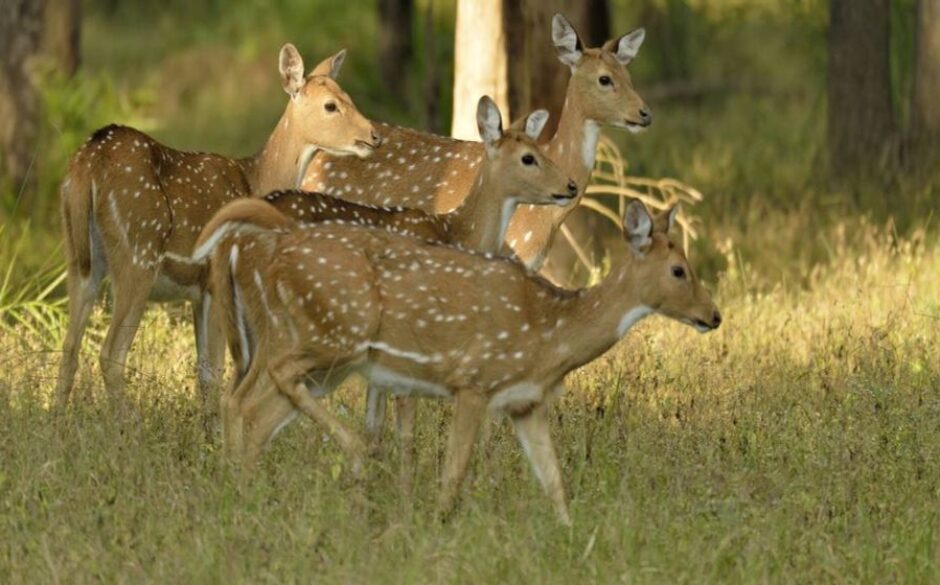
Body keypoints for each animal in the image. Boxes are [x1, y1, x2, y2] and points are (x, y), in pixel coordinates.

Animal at [53, 42, 378, 410]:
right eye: (331, 105)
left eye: (347, 95)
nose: (373, 136)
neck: (256, 180)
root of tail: (88, 163)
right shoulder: (217, 280)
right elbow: (217, 371)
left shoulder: (198, 291)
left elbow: (203, 372)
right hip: (139, 251)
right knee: (110, 354)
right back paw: (127, 422)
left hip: (78, 254)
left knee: (69, 348)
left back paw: (58, 420)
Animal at [195, 198, 716, 524]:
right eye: (678, 270)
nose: (714, 315)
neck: (550, 335)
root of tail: (278, 245)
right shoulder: (474, 380)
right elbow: (455, 472)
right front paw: (438, 524)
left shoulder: (526, 403)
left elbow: (554, 481)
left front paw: (571, 540)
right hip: (335, 333)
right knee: (262, 389)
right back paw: (354, 456)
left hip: (326, 360)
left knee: (257, 410)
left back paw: (244, 494)